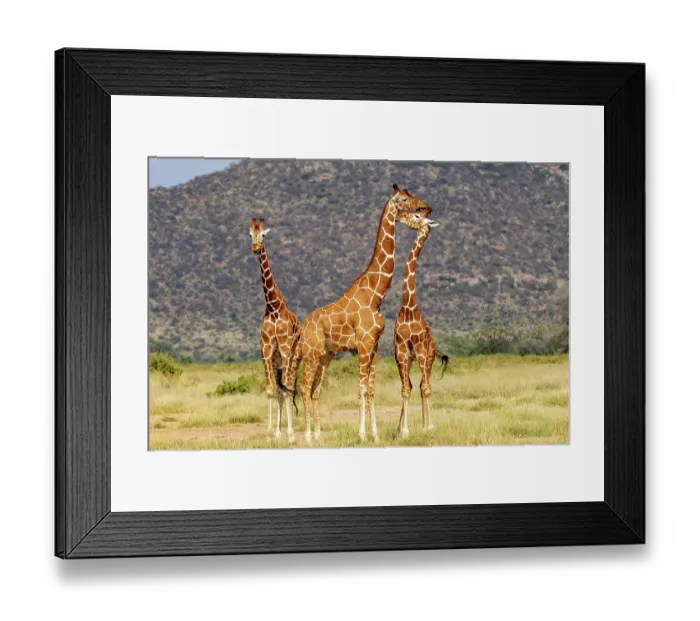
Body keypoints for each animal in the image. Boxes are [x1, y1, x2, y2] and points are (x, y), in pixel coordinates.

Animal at [281, 185, 434, 445]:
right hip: (311, 353)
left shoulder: (374, 346)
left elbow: (371, 389)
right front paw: (362, 434)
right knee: (303, 387)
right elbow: (361, 388)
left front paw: (375, 434)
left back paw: (315, 435)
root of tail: (303, 327)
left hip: (325, 355)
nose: (426, 207)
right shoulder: (363, 344)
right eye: (405, 201)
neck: (375, 294)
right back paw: (307, 436)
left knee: (313, 390)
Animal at [394, 221, 449, 439]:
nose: (401, 220)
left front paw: (428, 427)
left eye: (417, 217)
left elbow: (424, 388)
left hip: (429, 356)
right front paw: (403, 431)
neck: (409, 308)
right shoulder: (401, 351)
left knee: (425, 385)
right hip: (411, 359)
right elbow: (405, 389)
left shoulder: (419, 350)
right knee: (413, 385)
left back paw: (427, 426)